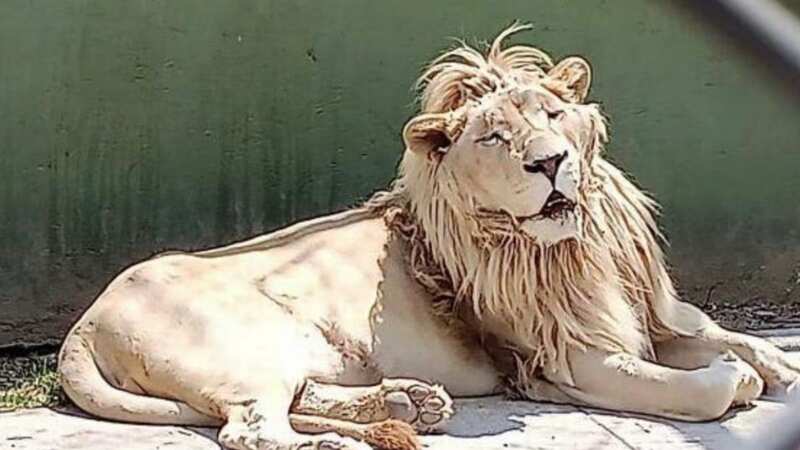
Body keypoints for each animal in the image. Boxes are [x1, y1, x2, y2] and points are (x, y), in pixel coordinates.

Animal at [58, 24, 800, 450]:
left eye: (553, 115)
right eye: (494, 137)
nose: (550, 162)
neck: (575, 244)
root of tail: (83, 326)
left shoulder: (647, 311)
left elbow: (723, 336)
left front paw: (774, 364)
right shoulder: (567, 363)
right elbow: (700, 387)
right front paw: (737, 380)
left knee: (293, 400)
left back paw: (407, 403)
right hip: (244, 346)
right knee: (252, 430)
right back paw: (343, 439)